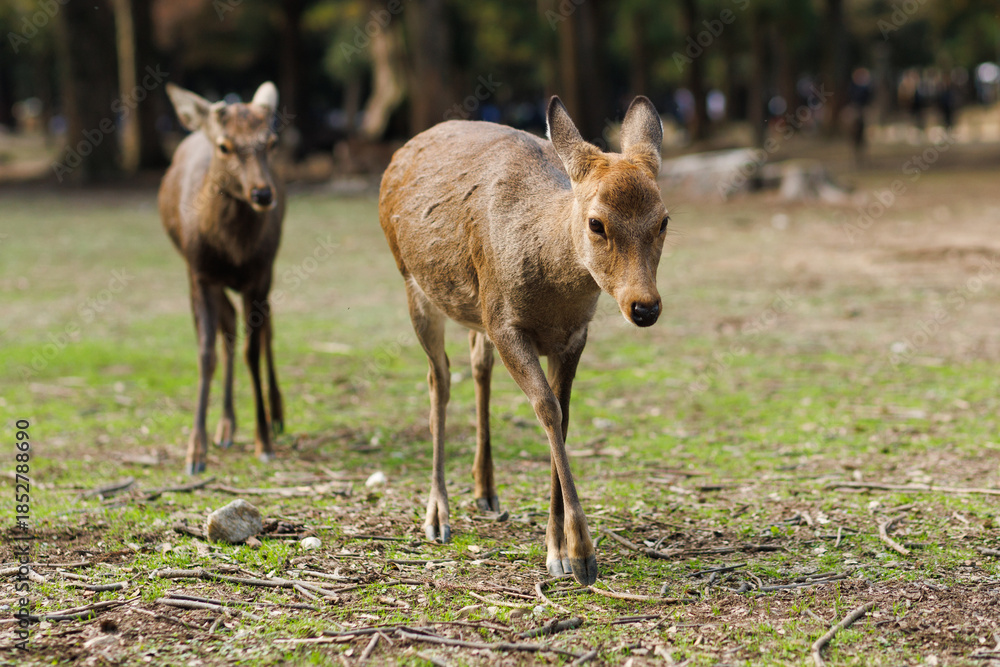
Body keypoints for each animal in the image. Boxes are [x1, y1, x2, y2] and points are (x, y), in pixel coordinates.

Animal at [159, 81, 285, 475]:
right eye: (225, 145)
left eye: (271, 141)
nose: (263, 193)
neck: (233, 251)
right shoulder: (200, 274)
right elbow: (206, 352)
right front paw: (195, 451)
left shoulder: (259, 274)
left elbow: (253, 350)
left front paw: (264, 441)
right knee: (227, 327)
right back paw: (226, 425)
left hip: (268, 272)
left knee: (268, 330)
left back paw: (277, 414)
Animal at [379, 95, 668, 585]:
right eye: (596, 223)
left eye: (664, 220)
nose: (644, 307)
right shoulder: (505, 322)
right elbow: (547, 410)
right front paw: (579, 557)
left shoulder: (573, 335)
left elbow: (563, 418)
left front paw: (560, 547)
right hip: (413, 283)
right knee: (439, 378)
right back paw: (437, 515)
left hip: (474, 310)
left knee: (478, 363)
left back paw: (486, 490)